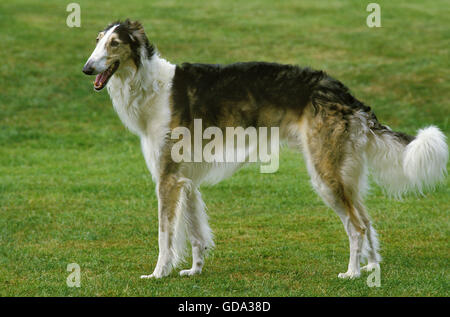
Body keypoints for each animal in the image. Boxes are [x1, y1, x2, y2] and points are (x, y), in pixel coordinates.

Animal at [82, 19, 448, 278]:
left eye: (114, 43)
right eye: (97, 40)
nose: (87, 68)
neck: (151, 87)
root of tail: (343, 93)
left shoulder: (167, 178)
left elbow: (165, 234)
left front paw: (158, 273)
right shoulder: (186, 179)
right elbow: (195, 231)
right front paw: (194, 270)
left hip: (325, 174)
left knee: (356, 226)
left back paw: (353, 273)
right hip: (344, 173)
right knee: (367, 220)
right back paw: (372, 268)